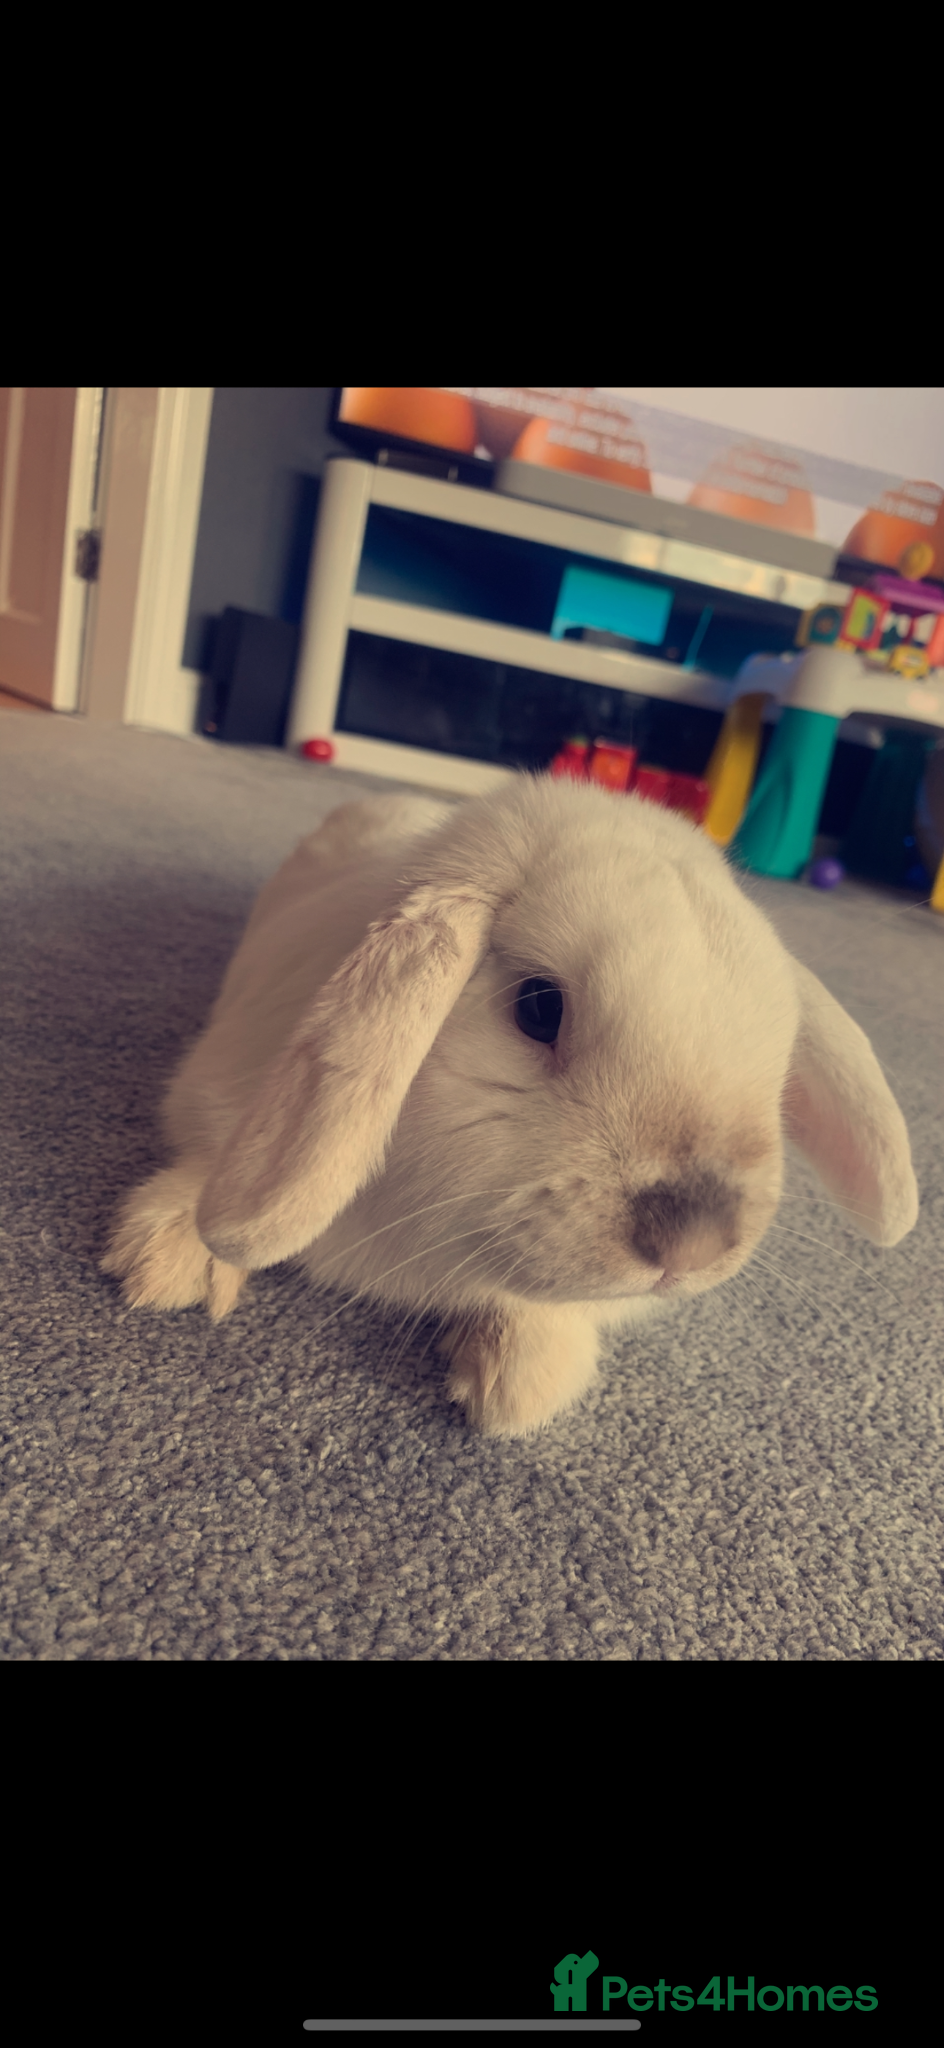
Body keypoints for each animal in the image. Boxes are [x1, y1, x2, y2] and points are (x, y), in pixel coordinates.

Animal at [102, 773, 919, 1438]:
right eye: (538, 1008)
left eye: (776, 1056)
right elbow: (205, 1162)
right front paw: (168, 1264)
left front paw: (517, 1385)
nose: (694, 1244)